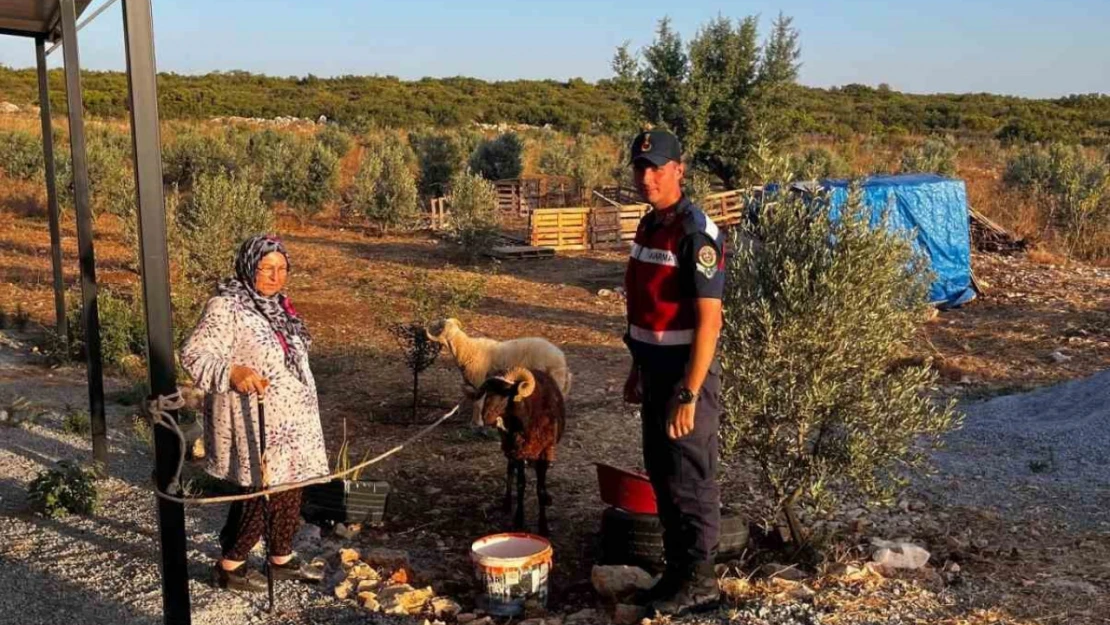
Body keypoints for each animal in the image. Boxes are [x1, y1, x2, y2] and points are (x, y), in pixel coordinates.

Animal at [424, 319, 572, 428]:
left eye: (440, 325)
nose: (429, 324)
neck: (466, 348)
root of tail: (561, 356)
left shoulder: (478, 381)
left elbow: (478, 403)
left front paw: (476, 424)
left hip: (554, 376)